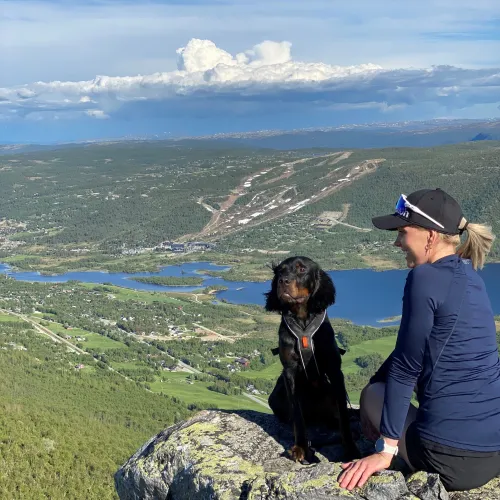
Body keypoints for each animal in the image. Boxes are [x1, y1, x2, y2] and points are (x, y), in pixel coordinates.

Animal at [266, 256, 360, 462]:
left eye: (301, 269)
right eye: (280, 271)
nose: (282, 281)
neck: (303, 321)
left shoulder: (334, 371)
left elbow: (343, 414)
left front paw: (350, 448)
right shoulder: (290, 372)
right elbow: (297, 415)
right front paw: (301, 447)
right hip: (276, 397)